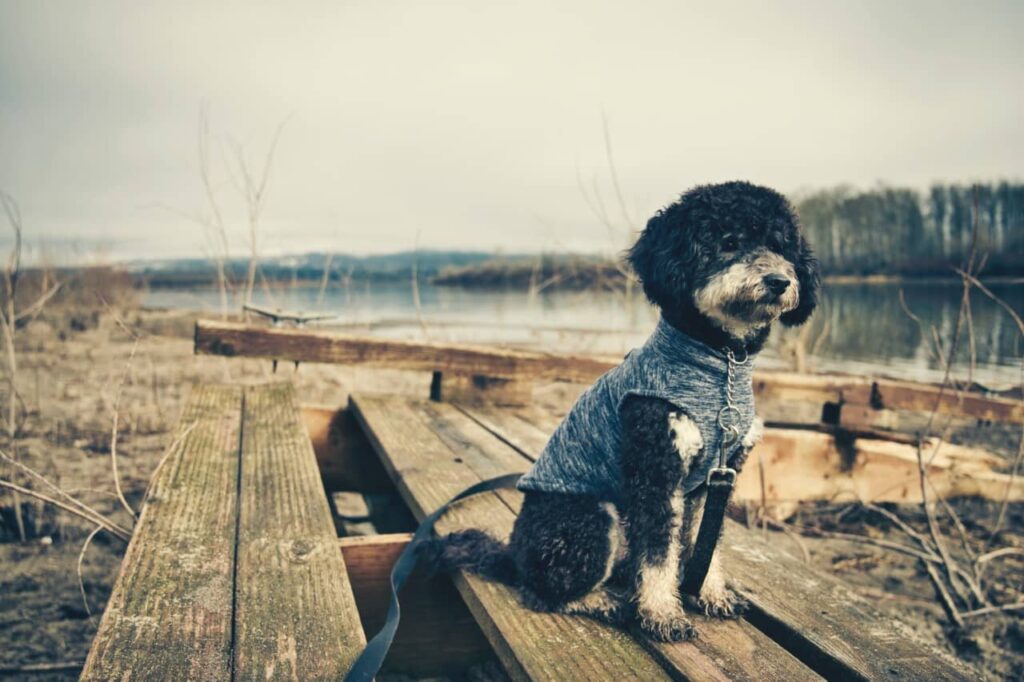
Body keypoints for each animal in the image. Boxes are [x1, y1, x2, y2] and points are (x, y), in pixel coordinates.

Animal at [425, 179, 823, 638]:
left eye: (781, 247)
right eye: (728, 242)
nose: (779, 280)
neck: (721, 364)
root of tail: (514, 555)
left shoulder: (717, 479)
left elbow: (706, 542)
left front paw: (711, 594)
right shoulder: (656, 471)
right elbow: (658, 554)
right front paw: (663, 614)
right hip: (591, 519)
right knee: (542, 592)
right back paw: (598, 600)